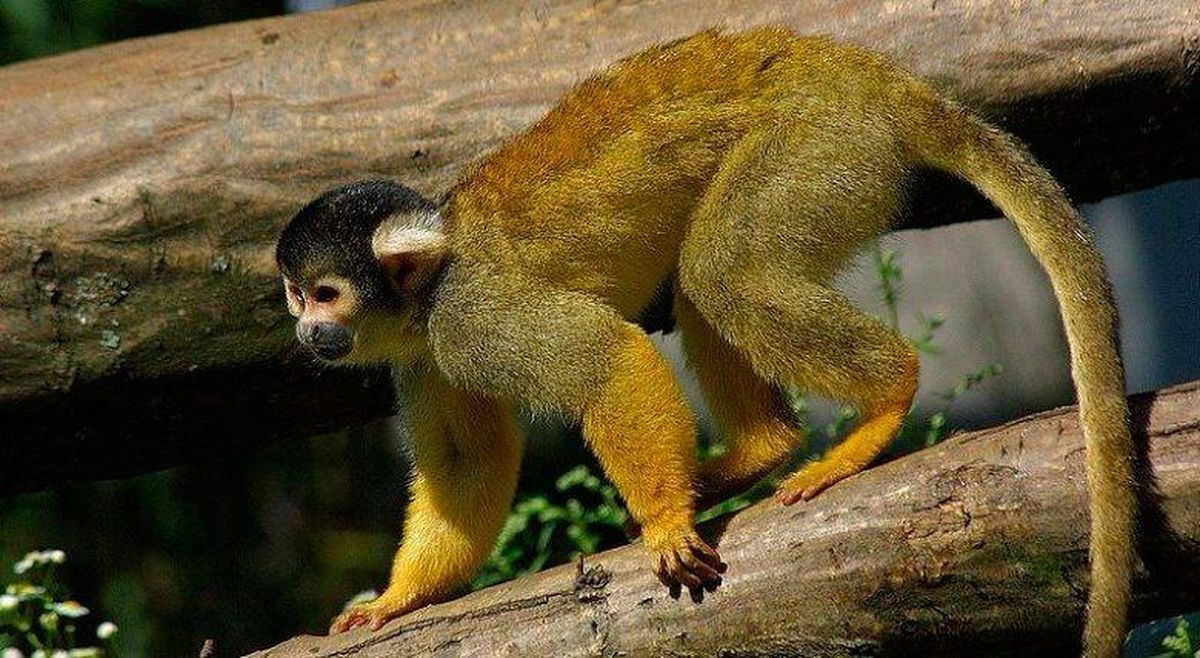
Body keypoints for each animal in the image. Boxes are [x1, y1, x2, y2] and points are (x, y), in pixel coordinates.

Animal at [275, 27, 1136, 657]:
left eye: (326, 294)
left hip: (816, 148)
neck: (424, 292)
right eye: (293, 295)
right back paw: (760, 450)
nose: (308, 331)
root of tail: (868, 75)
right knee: (705, 280)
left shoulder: (469, 319)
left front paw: (663, 521)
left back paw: (886, 398)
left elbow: (604, 359)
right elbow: (467, 466)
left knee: (725, 270)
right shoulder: (424, 359)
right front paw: (396, 599)